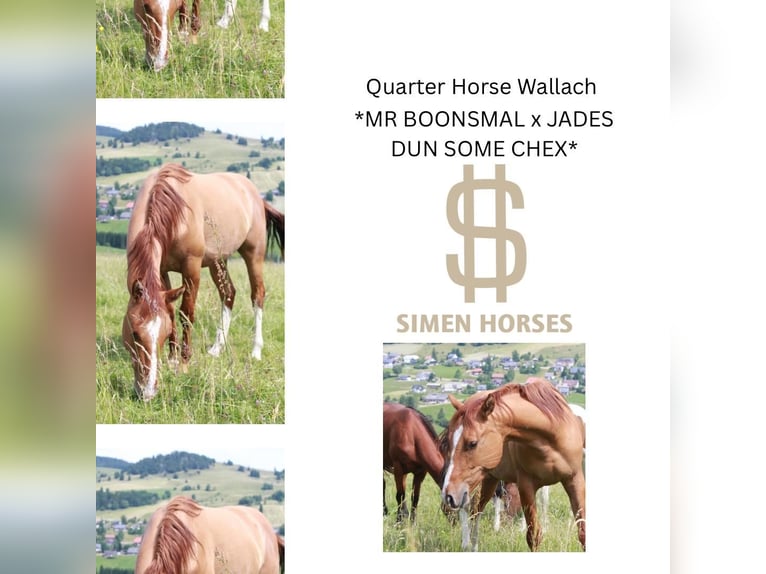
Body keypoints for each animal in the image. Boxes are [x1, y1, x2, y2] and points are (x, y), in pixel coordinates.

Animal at [122, 163, 285, 401]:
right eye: (134, 333)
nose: (148, 392)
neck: (172, 211)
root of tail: (253, 193)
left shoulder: (192, 268)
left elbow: (186, 314)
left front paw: (184, 363)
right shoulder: (162, 271)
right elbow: (171, 311)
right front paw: (172, 359)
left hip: (254, 253)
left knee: (257, 295)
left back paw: (256, 350)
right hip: (218, 260)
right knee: (228, 293)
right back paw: (217, 348)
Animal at [441, 378, 586, 551]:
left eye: (472, 443)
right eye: (449, 442)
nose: (448, 496)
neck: (551, 436)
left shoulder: (574, 479)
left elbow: (583, 532)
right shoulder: (526, 486)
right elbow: (533, 536)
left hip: (488, 480)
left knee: (475, 510)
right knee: (472, 511)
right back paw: (468, 544)